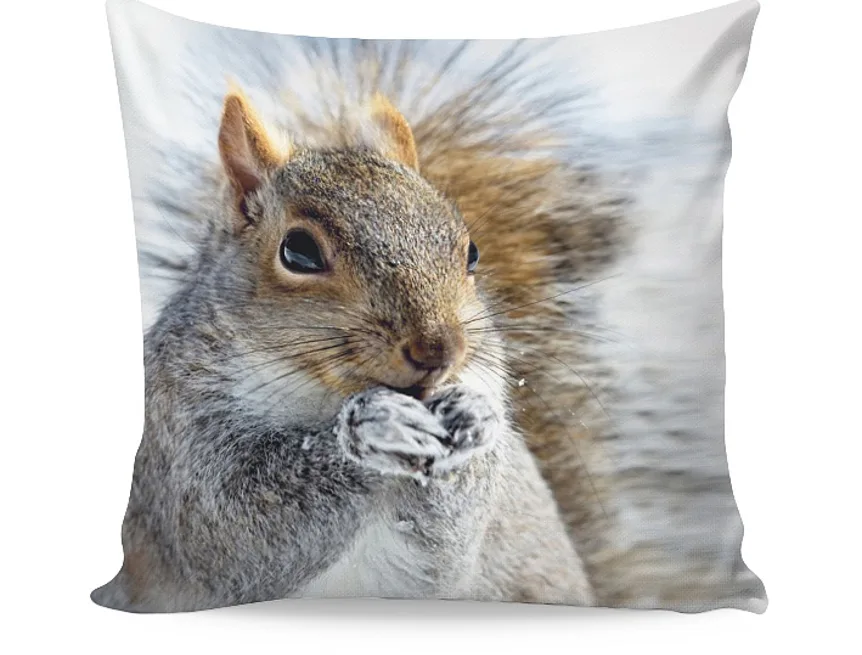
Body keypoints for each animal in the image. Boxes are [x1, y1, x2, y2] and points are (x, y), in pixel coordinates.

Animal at [93, 39, 628, 612]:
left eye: (471, 252)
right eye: (299, 251)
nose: (438, 349)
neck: (320, 396)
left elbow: (447, 551)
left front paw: (473, 419)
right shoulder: (177, 439)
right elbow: (231, 529)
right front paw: (373, 431)